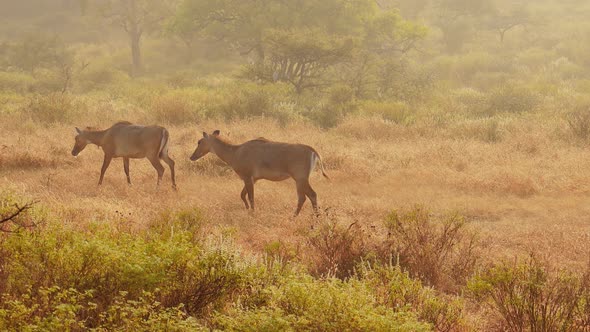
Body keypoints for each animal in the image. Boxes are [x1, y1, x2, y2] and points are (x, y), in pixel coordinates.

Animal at [191, 130, 330, 215]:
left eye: (199, 141)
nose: (192, 157)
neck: (235, 152)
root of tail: (311, 150)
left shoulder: (248, 177)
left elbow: (250, 197)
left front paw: (252, 213)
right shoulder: (254, 179)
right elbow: (242, 195)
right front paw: (247, 209)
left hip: (301, 179)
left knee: (310, 195)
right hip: (299, 180)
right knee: (304, 197)